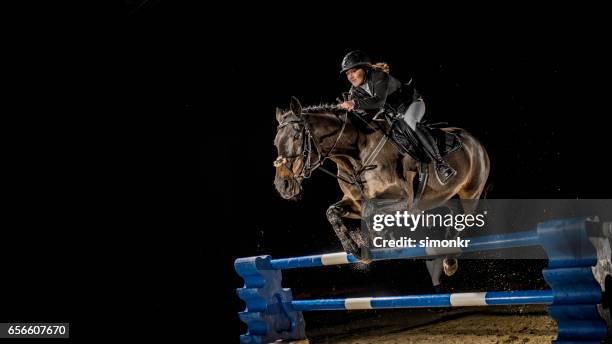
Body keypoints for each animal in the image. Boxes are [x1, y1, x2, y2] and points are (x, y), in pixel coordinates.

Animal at [274, 97, 490, 280]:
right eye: (275, 142)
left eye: (296, 136)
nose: (282, 185)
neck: (355, 158)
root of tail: (476, 142)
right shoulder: (355, 203)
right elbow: (332, 212)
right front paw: (355, 248)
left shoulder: (403, 200)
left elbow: (371, 210)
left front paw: (384, 239)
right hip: (445, 197)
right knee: (454, 214)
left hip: (471, 193)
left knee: (466, 221)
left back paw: (450, 261)